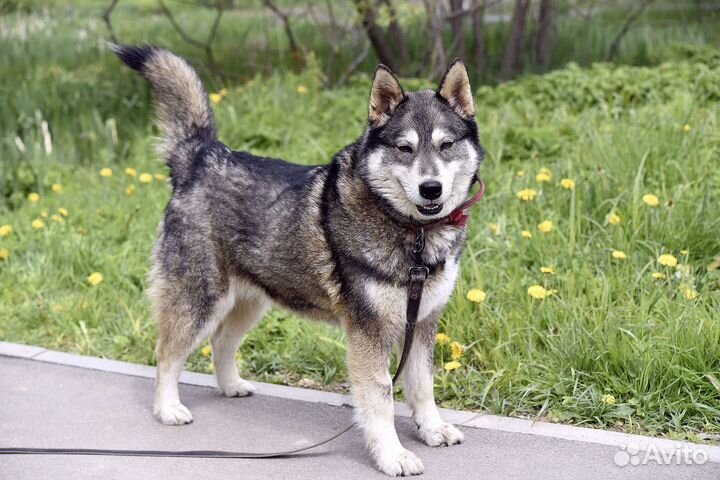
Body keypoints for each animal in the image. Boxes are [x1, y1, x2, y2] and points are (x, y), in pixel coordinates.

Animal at [112, 44, 484, 476]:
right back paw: (168, 408)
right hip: (199, 302)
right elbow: (380, 398)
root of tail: (202, 157)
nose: (431, 188)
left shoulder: (422, 324)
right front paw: (393, 455)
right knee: (167, 355)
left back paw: (231, 386)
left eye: (446, 145)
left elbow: (423, 386)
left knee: (221, 342)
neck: (414, 236)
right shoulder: (369, 334)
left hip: (248, 304)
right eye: (404, 149)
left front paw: (432, 428)